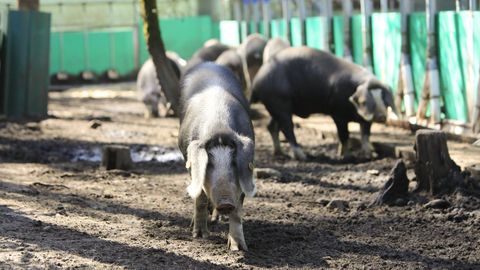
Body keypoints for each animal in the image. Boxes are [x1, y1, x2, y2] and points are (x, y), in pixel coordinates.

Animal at [178, 61, 256, 251]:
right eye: (209, 164)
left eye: (234, 163)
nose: (226, 203)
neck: (219, 127)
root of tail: (209, 63)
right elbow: (200, 197)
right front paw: (200, 236)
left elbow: (237, 211)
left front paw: (238, 248)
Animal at [251, 46, 398, 160]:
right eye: (365, 101)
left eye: (384, 99)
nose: (381, 117)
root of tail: (258, 79)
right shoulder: (338, 114)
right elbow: (344, 135)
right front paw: (346, 157)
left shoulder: (366, 119)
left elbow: (365, 136)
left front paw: (370, 155)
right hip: (280, 102)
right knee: (287, 128)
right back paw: (303, 157)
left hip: (275, 106)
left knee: (271, 126)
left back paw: (280, 153)